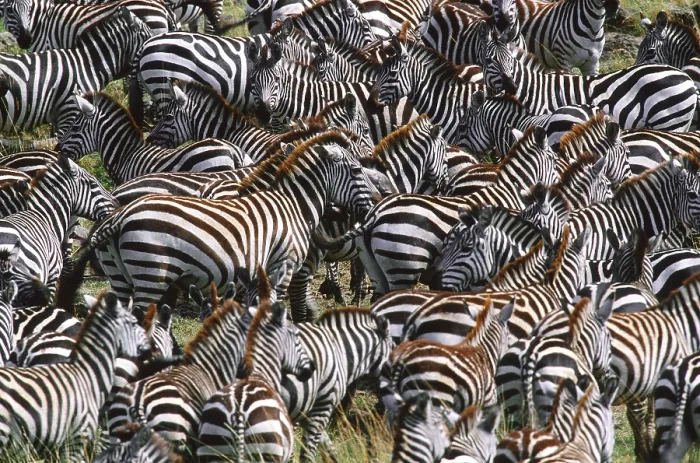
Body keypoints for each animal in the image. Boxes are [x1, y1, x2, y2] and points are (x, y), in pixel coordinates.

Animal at [490, 48, 697, 131]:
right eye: (490, 62)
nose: (510, 86)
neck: (537, 90)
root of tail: (686, 78)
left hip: (669, 120)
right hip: (680, 122)